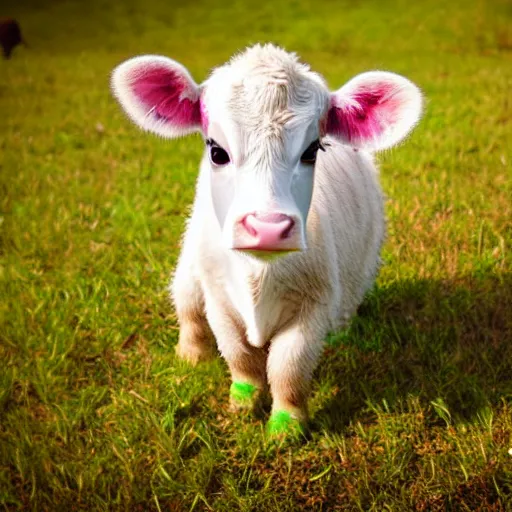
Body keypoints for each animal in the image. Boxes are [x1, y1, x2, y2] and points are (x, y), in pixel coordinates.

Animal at [113, 44, 424, 436]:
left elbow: (288, 367)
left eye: (312, 150)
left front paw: (286, 425)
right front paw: (242, 403)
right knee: (187, 305)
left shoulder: (313, 305)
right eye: (217, 150)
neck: (257, 275)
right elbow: (240, 356)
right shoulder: (219, 300)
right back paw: (191, 354)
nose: (267, 227)